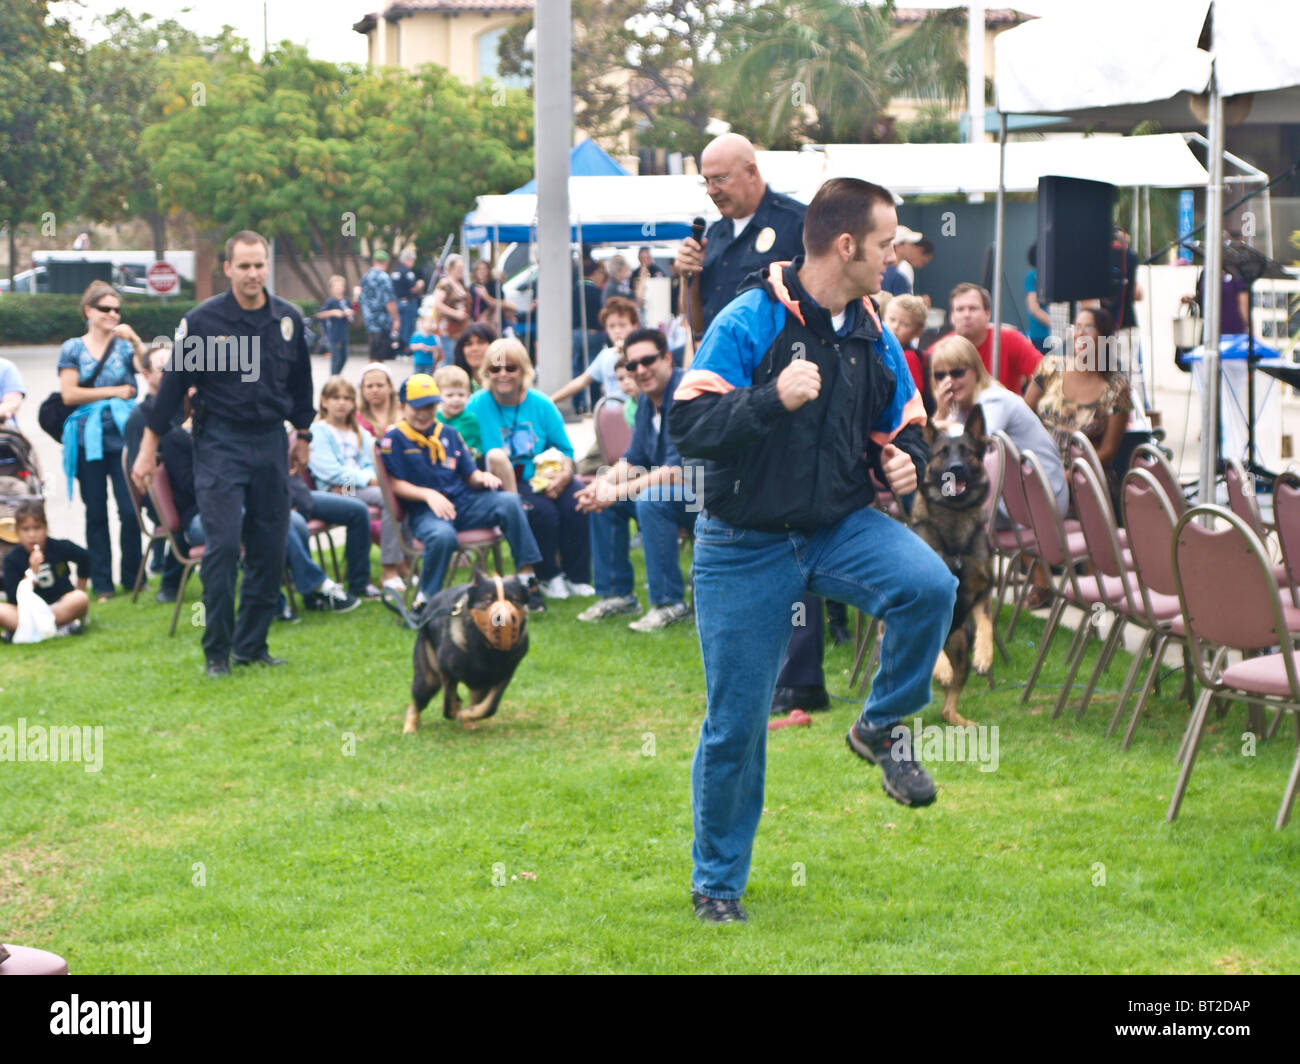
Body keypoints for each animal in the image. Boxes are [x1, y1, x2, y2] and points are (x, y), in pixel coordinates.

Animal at [403, 567, 530, 733]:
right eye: (488, 600)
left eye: (515, 601)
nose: (503, 618)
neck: (487, 649)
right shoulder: (446, 672)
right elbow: (449, 707)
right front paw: (459, 712)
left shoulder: (502, 676)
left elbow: (489, 707)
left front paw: (467, 715)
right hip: (428, 679)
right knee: (416, 703)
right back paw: (410, 727)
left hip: (478, 684)